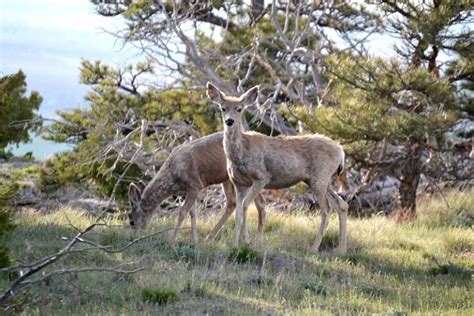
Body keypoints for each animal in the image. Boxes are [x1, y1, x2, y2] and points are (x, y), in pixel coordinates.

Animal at [127, 132, 266, 243]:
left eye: (131, 221)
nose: (135, 238)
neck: (172, 176)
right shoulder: (187, 191)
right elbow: (192, 213)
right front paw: (194, 240)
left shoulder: (194, 185)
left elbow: (182, 212)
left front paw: (172, 239)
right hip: (228, 178)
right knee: (233, 203)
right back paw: (210, 238)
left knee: (258, 201)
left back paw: (256, 239)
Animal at [206, 82, 348, 253]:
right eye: (223, 108)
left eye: (239, 109)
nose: (230, 121)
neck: (241, 153)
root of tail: (341, 151)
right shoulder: (239, 183)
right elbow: (238, 211)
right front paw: (235, 244)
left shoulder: (262, 176)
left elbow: (246, 205)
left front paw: (246, 240)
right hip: (320, 180)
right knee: (342, 205)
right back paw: (341, 249)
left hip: (319, 177)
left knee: (326, 209)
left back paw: (314, 248)